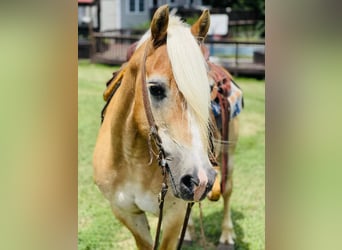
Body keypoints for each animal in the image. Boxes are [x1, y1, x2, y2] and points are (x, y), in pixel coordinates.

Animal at [92, 3, 239, 250]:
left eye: (208, 89)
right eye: (156, 89)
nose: (200, 179)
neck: (133, 158)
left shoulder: (173, 214)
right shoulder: (126, 213)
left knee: (227, 191)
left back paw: (227, 236)